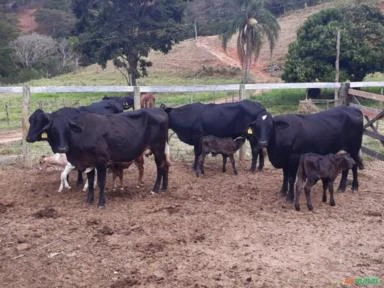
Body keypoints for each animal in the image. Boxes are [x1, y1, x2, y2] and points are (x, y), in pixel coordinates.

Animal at [27, 108, 170, 207]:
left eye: (67, 129)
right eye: (53, 130)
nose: (62, 148)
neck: (83, 134)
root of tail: (159, 110)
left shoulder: (101, 161)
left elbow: (101, 182)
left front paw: (101, 203)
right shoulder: (88, 163)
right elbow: (90, 183)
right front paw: (89, 200)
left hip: (158, 148)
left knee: (160, 166)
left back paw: (155, 189)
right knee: (166, 165)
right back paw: (164, 187)